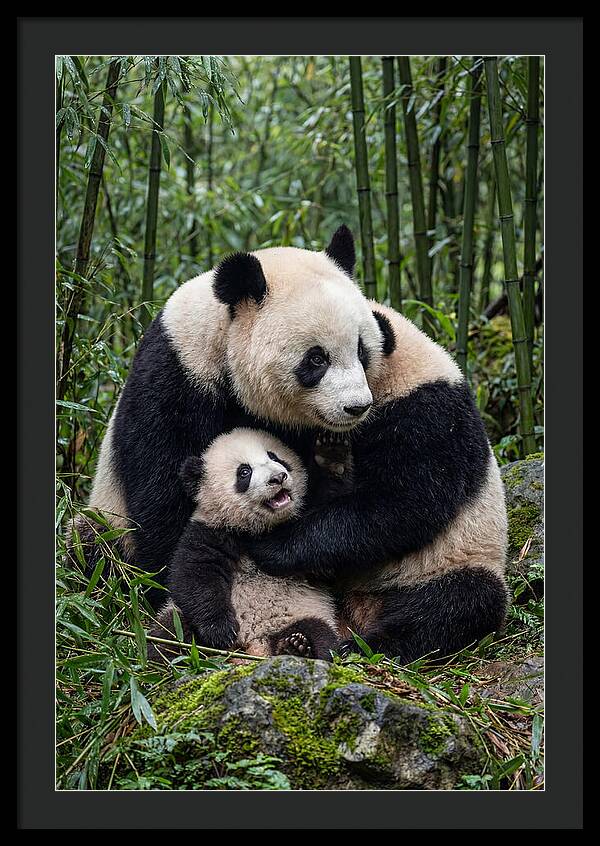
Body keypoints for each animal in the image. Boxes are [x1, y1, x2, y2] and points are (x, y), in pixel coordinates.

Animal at [150, 428, 344, 661]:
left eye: (275, 457)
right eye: (244, 472)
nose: (278, 478)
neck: (257, 527)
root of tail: (254, 644)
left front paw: (331, 456)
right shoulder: (210, 530)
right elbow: (195, 575)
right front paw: (221, 631)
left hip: (303, 613)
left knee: (320, 635)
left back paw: (297, 647)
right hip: (177, 617)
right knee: (168, 635)